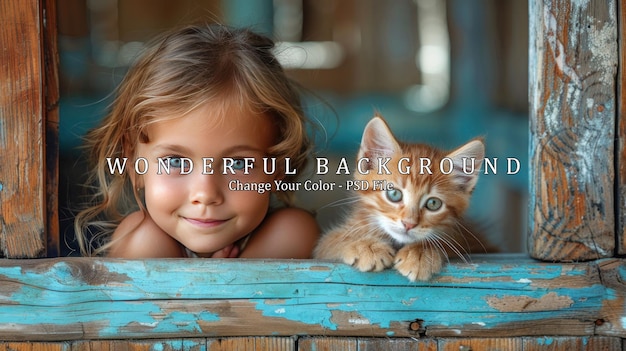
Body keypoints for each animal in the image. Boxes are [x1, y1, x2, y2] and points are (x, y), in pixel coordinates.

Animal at [314, 117, 486, 282]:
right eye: (394, 194)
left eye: (433, 203)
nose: (409, 224)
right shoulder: (323, 247)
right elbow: (335, 240)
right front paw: (365, 245)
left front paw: (420, 252)